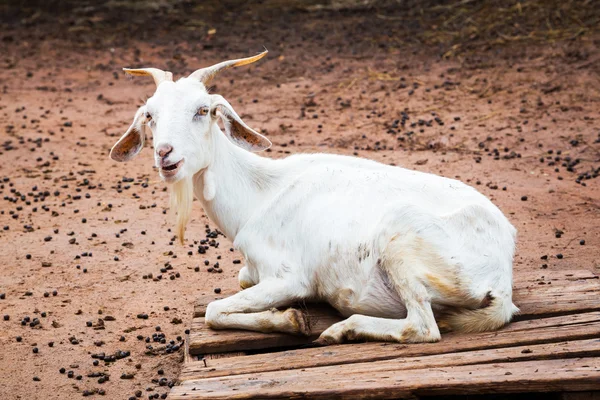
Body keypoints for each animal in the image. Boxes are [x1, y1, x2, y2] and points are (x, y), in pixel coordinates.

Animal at [110, 50, 516, 344]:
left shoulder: (291, 278)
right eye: (150, 115)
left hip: (401, 241)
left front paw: (292, 319)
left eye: (203, 110)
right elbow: (239, 280)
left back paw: (341, 329)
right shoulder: (253, 271)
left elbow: (212, 311)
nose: (165, 154)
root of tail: (502, 278)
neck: (259, 195)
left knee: (422, 327)